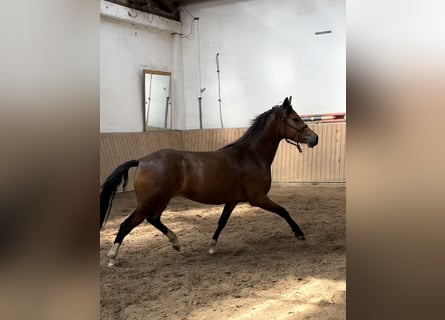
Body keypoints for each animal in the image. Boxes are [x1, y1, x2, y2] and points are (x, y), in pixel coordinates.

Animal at [100, 96, 316, 266]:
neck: (250, 156)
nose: (315, 138)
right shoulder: (258, 198)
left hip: (160, 200)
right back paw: (112, 257)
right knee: (127, 224)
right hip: (149, 202)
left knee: (153, 219)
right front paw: (299, 234)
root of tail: (142, 161)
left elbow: (222, 222)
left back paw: (175, 242)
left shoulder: (232, 201)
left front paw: (212, 247)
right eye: (295, 119)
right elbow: (283, 211)